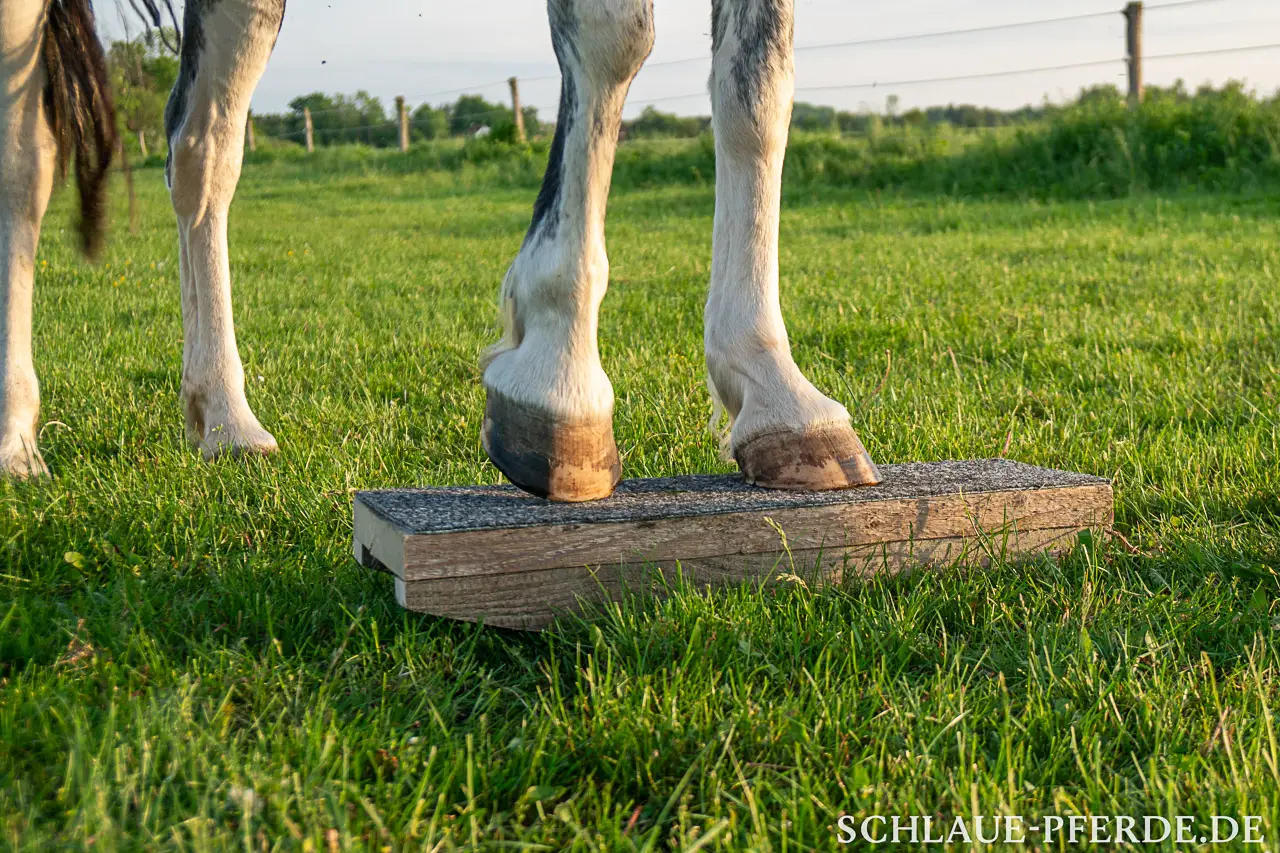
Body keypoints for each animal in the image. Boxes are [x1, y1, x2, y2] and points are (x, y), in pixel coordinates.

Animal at [0, 0, 881, 501]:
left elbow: (758, 84)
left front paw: (778, 391)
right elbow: (615, 36)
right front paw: (559, 376)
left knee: (203, 149)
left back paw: (224, 416)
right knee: (27, 159)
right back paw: (14, 435)